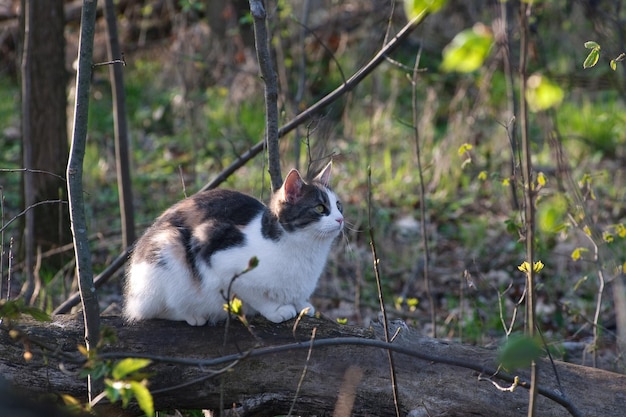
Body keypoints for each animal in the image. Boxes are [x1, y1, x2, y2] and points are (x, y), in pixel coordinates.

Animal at [123, 162, 344, 324]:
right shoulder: (219, 256)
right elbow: (255, 295)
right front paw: (276, 310)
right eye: (320, 208)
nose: (341, 219)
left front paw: (301, 304)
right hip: (169, 247)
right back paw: (192, 315)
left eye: (338, 205)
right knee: (158, 310)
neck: (307, 252)